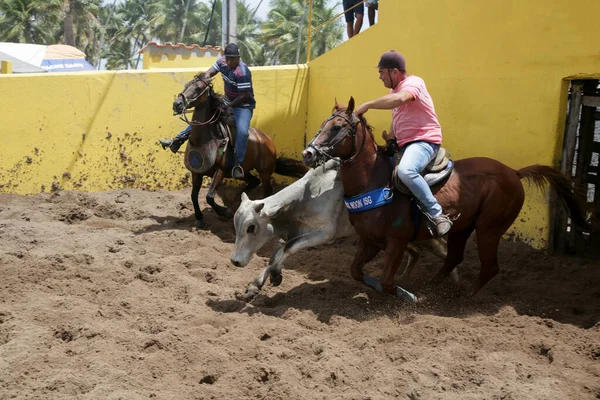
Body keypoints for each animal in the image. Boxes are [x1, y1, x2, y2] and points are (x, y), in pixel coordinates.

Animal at [172, 75, 308, 230]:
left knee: (267, 190)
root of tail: (267, 140)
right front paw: (200, 218)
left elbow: (209, 196)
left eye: (198, 88)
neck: (206, 138)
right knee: (254, 182)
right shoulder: (197, 172)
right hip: (242, 172)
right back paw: (238, 201)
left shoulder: (220, 170)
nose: (177, 104)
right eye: (186, 85)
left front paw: (225, 211)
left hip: (265, 171)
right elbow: (194, 196)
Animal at [231, 159, 454, 300]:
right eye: (236, 225)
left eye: (251, 227)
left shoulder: (323, 234)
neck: (306, 197)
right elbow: (276, 253)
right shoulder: (294, 232)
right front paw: (256, 286)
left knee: (443, 250)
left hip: (423, 237)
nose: (235, 261)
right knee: (416, 253)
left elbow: (288, 248)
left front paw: (275, 275)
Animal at [300, 97, 592, 300]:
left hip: (489, 229)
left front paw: (409, 297)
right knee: (454, 259)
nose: (308, 154)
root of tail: (513, 172)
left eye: (337, 127)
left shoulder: (396, 242)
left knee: (489, 268)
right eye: (322, 125)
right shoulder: (370, 240)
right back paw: (432, 290)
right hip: (463, 228)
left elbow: (387, 281)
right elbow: (356, 271)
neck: (375, 179)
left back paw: (457, 300)